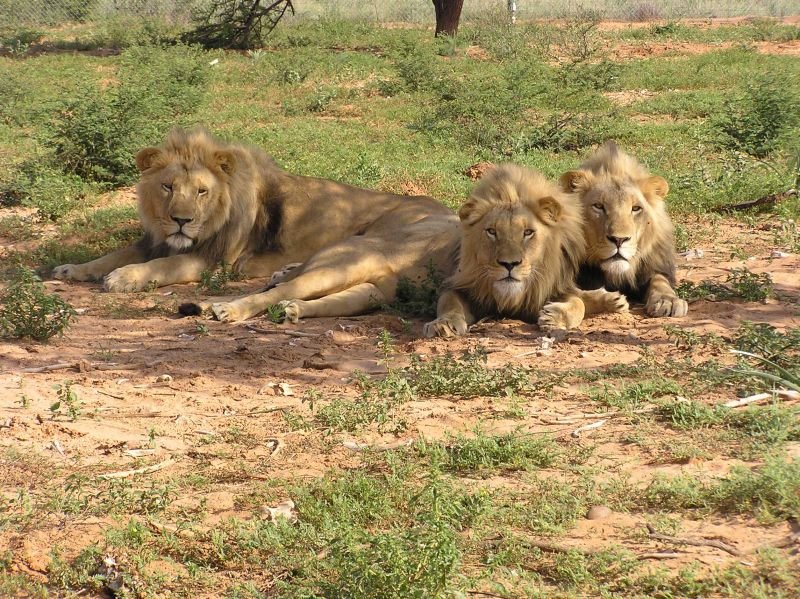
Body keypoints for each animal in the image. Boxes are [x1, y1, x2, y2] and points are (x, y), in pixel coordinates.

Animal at [51, 128, 450, 293]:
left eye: (202, 191)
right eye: (168, 187)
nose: (181, 221)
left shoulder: (213, 260)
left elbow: (162, 266)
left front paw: (123, 278)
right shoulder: (155, 239)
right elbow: (113, 254)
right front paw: (73, 269)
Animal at [423, 164, 628, 338]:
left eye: (528, 232)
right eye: (492, 232)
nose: (509, 264)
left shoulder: (548, 288)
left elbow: (578, 303)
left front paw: (553, 317)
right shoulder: (467, 287)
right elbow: (449, 301)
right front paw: (443, 324)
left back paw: (614, 300)